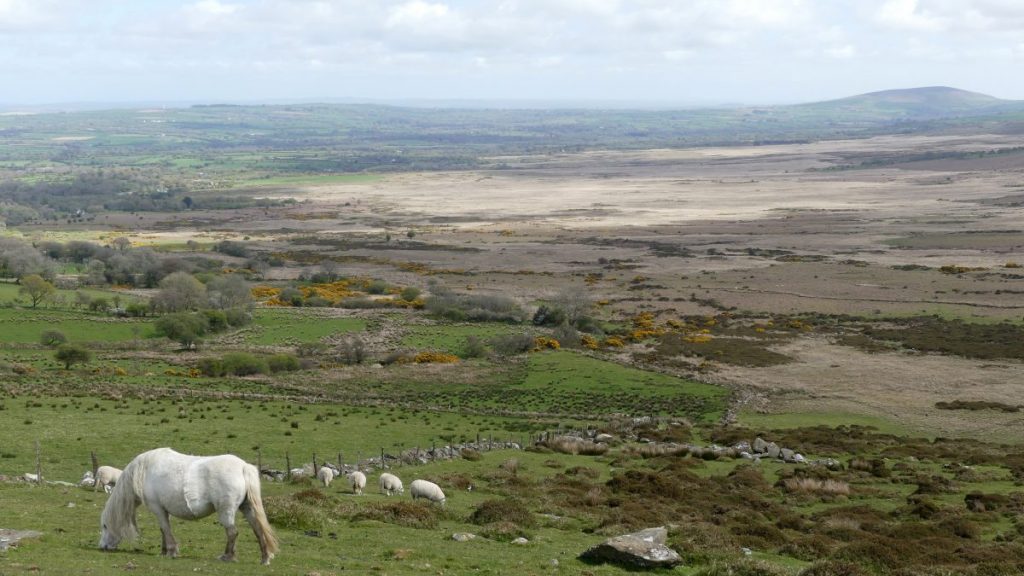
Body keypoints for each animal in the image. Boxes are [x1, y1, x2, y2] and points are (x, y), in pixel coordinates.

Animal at [98, 446, 278, 561]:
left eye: (105, 526)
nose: (102, 547)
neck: (143, 470)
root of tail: (243, 467)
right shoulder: (163, 510)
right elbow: (163, 529)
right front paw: (164, 551)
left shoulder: (158, 508)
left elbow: (165, 529)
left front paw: (171, 551)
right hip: (247, 508)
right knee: (258, 530)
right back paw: (265, 558)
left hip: (226, 511)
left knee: (232, 532)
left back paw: (227, 556)